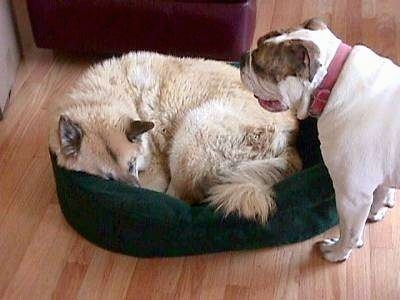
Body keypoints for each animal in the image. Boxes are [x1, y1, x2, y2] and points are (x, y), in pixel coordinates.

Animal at [49, 52, 300, 223]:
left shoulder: (155, 171)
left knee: (180, 198)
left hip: (191, 132)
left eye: (132, 165)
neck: (106, 98)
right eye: (108, 178)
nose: (135, 191)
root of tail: (287, 142)